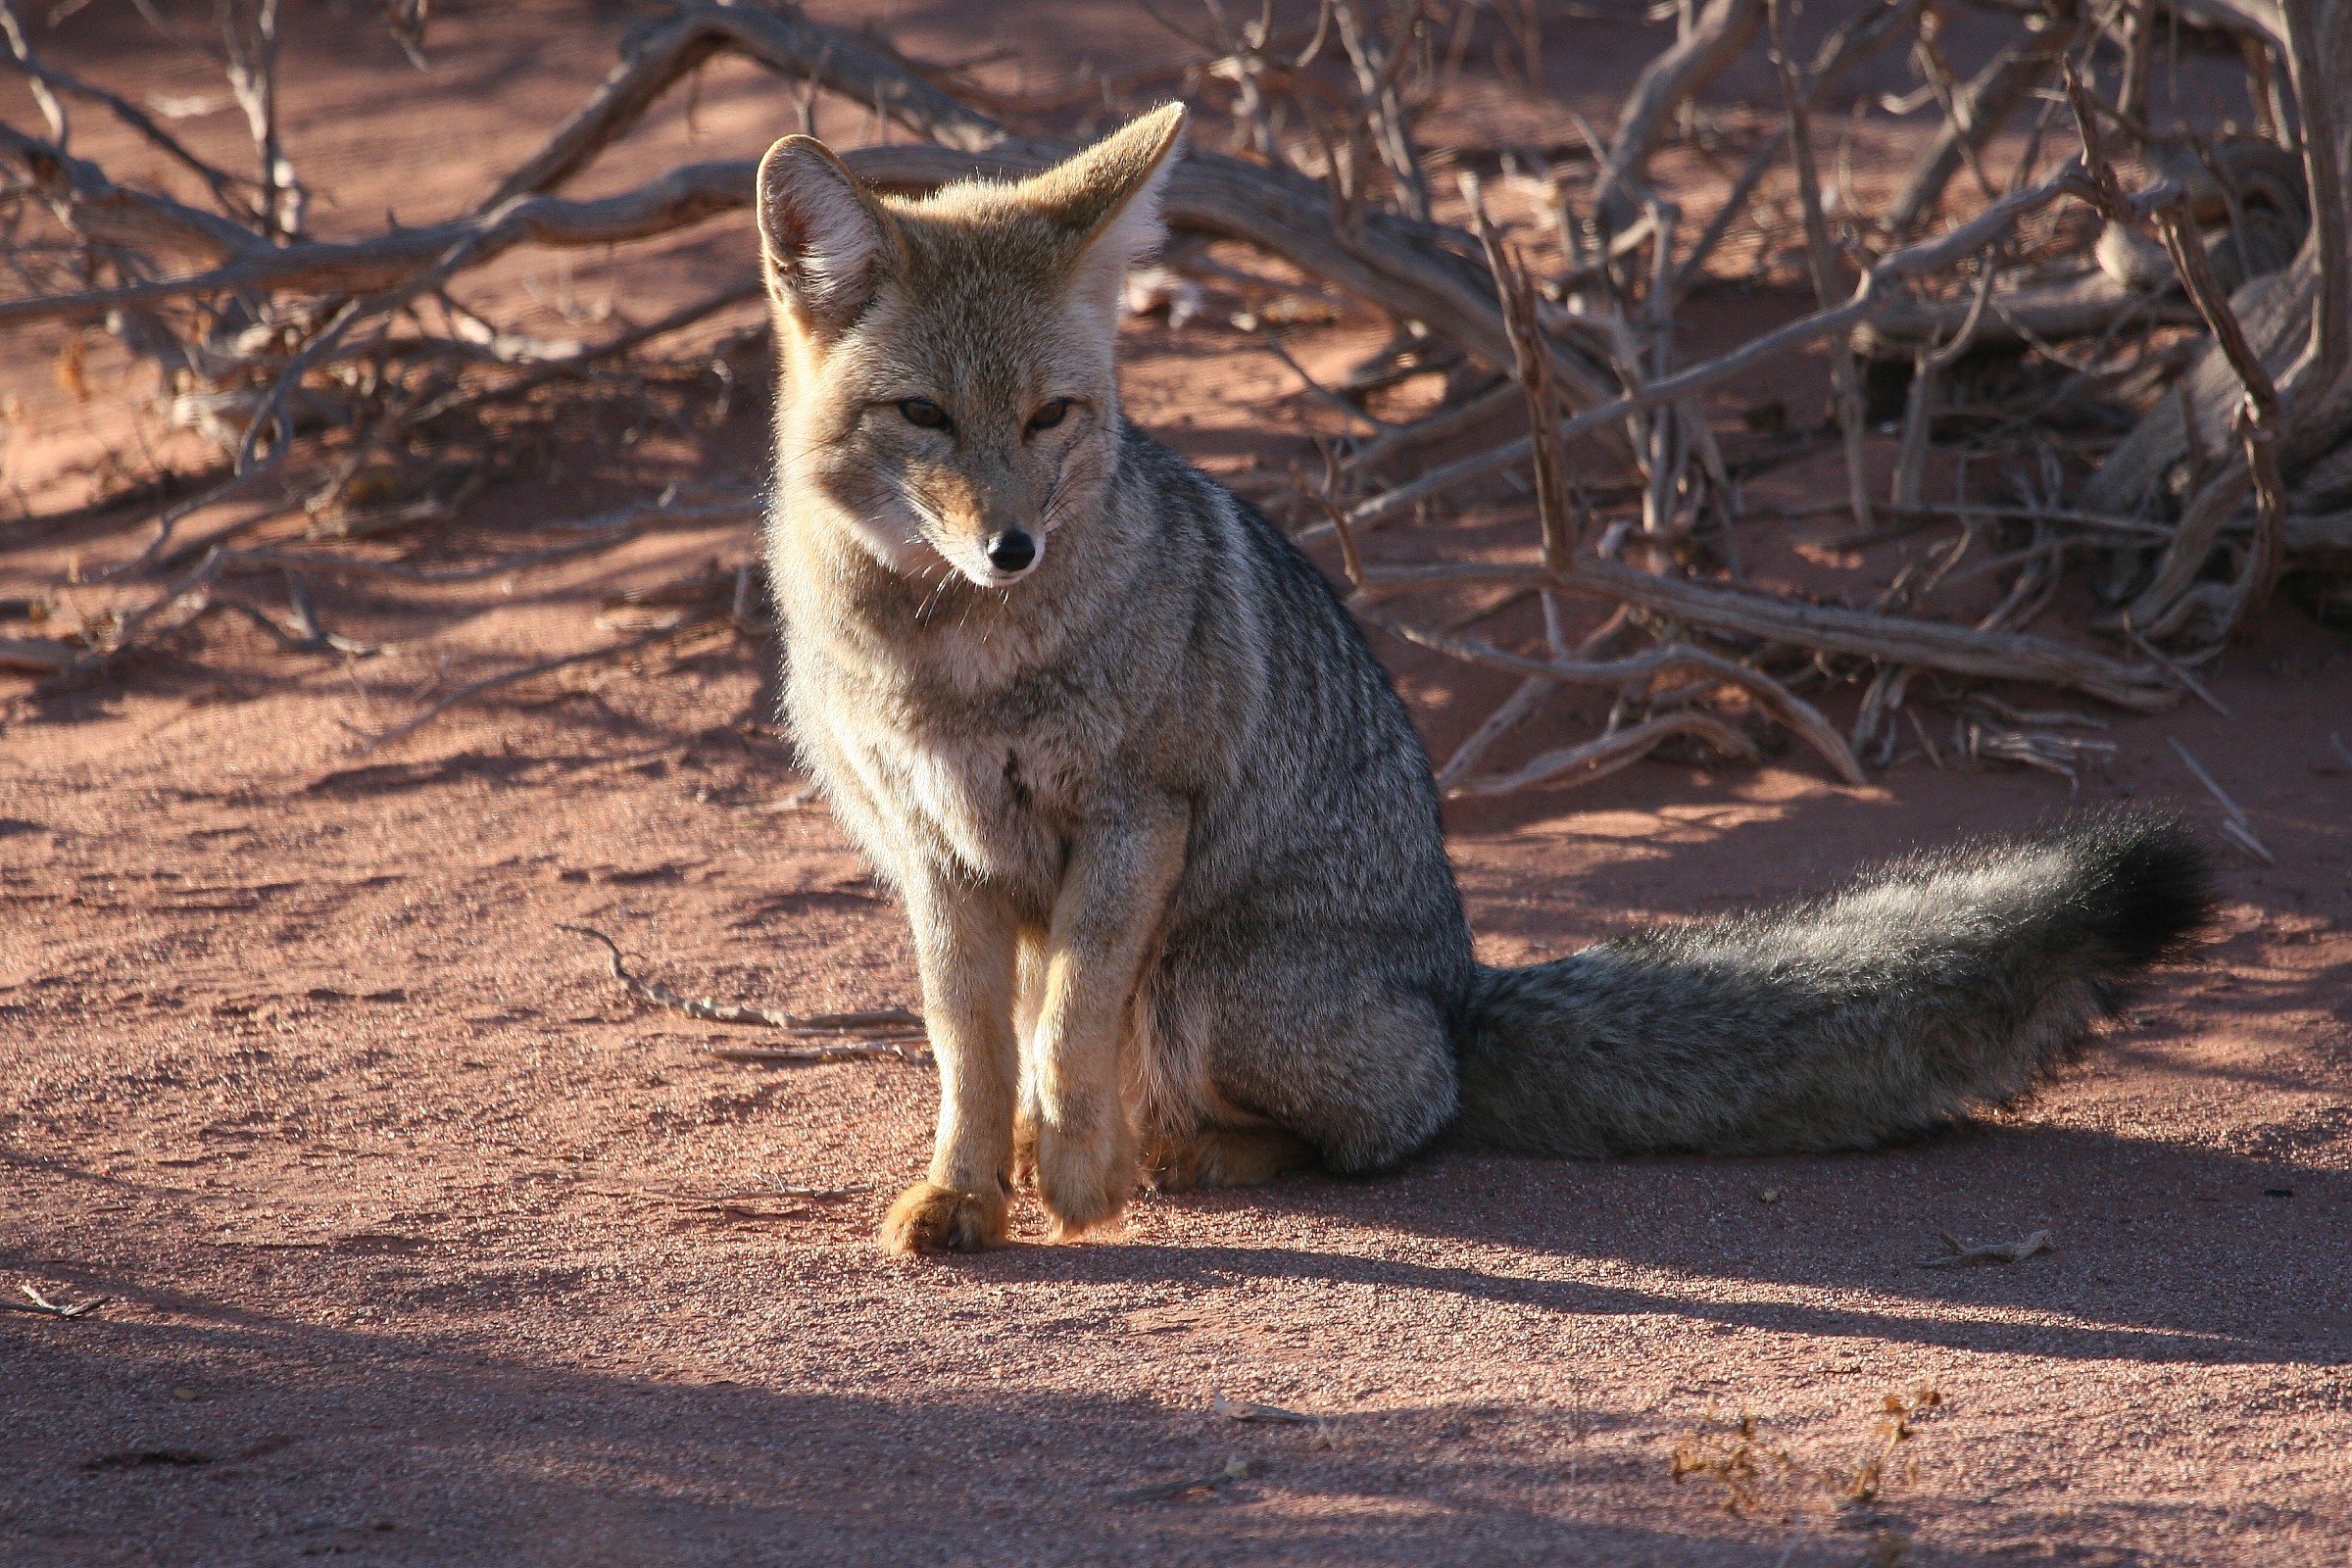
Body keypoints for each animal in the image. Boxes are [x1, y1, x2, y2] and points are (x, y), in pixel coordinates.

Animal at [753, 102, 2215, 1255]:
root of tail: (1461, 989)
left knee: (1398, 1126)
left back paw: (1186, 1153)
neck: (948, 659)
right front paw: (966, 1194)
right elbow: (973, 1052)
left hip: (1209, 990)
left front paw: (1072, 1174)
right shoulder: (936, 852)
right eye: (924, 418)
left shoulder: (1134, 815)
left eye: (1050, 418)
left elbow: (1066, 1028)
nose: (1012, 548)